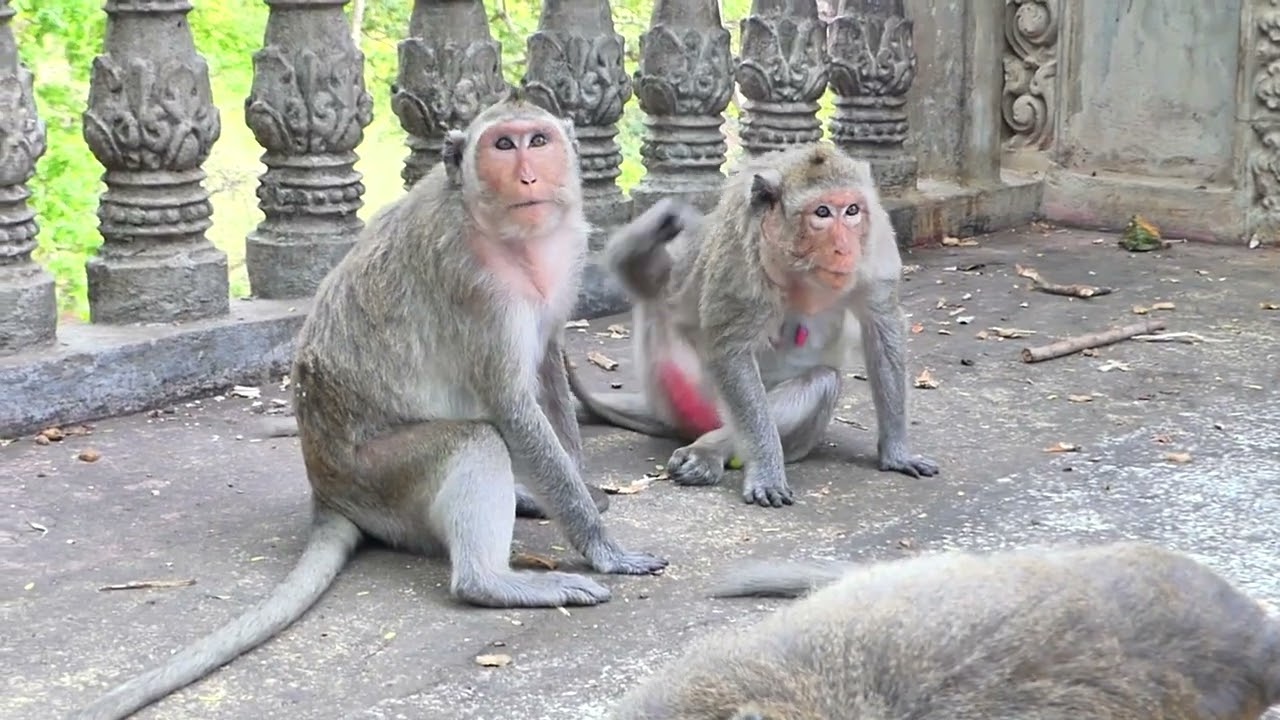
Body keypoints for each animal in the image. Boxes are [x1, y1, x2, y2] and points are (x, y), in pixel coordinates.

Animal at [70, 89, 668, 720]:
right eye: (503, 145)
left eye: (539, 140)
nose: (529, 174)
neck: (502, 231)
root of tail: (327, 492)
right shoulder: (473, 284)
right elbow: (510, 406)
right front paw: (602, 547)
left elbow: (549, 365)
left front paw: (581, 488)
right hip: (379, 476)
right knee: (475, 440)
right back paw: (491, 582)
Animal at [567, 143, 937, 509]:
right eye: (821, 213)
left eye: (852, 210)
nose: (844, 248)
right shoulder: (740, 252)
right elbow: (731, 350)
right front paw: (767, 473)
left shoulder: (876, 245)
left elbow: (883, 326)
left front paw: (896, 452)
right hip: (674, 382)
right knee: (649, 283)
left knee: (821, 381)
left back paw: (711, 448)